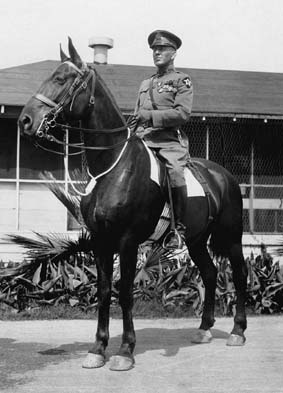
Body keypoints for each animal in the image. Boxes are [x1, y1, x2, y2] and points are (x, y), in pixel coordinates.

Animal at [17, 37, 248, 370]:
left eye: (61, 79)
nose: (25, 120)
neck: (114, 164)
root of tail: (224, 176)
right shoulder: (100, 241)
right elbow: (103, 291)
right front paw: (98, 349)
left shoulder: (126, 241)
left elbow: (125, 292)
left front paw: (125, 350)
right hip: (196, 240)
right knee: (209, 273)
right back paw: (204, 329)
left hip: (231, 237)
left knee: (239, 275)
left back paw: (238, 331)